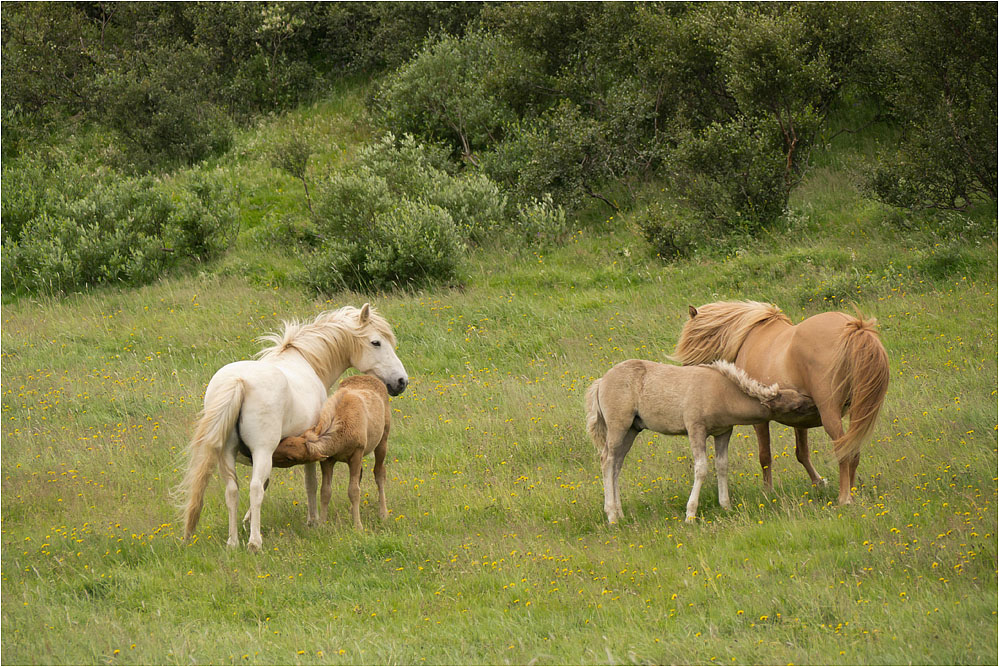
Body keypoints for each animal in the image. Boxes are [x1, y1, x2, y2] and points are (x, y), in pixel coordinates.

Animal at [270, 376, 394, 532]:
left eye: (290, 458)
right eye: (283, 440)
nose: (270, 456)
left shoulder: (357, 453)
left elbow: (354, 490)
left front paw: (358, 526)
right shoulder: (328, 460)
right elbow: (325, 491)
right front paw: (322, 523)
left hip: (383, 440)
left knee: (379, 472)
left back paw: (383, 513)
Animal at [584, 360, 820, 520]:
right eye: (798, 406)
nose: (816, 404)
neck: (721, 393)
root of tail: (601, 381)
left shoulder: (723, 432)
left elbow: (722, 466)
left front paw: (726, 505)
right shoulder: (695, 428)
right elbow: (701, 468)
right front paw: (690, 514)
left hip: (632, 429)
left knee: (617, 464)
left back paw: (620, 513)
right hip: (618, 426)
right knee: (607, 460)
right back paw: (612, 516)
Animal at [672, 300, 892, 504]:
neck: (748, 337)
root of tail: (855, 328)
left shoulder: (760, 420)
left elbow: (765, 456)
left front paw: (767, 492)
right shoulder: (800, 417)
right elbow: (802, 453)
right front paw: (818, 482)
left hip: (830, 414)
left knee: (843, 450)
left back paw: (844, 498)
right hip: (857, 413)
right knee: (853, 450)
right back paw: (852, 494)